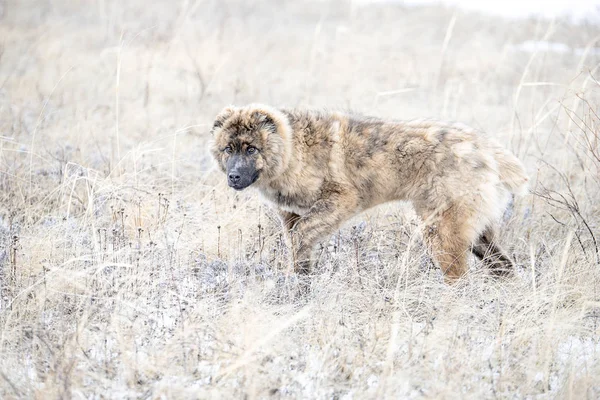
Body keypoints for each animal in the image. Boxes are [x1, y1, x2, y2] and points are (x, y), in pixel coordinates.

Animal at [209, 104, 528, 282]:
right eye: (228, 149)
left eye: (251, 148)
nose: (233, 176)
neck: (293, 149)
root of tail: (486, 148)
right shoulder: (290, 215)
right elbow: (297, 247)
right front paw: (299, 284)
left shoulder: (341, 200)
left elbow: (301, 236)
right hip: (475, 232)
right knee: (504, 266)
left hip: (442, 230)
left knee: (460, 278)